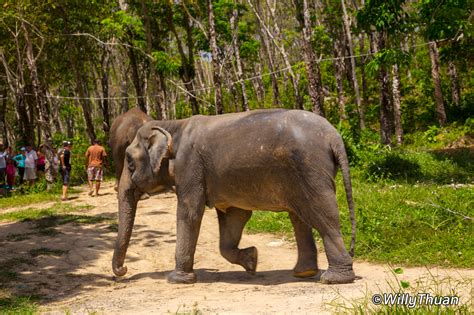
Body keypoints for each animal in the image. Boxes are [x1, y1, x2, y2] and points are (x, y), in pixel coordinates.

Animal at [112, 110, 356, 286]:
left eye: (129, 160)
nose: (122, 272)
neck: (172, 125)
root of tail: (335, 137)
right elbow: (234, 218)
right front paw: (252, 261)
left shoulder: (190, 166)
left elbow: (190, 212)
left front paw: (177, 280)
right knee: (299, 217)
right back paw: (304, 273)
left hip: (311, 170)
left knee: (323, 216)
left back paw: (333, 279)